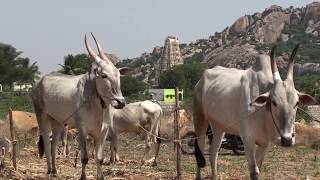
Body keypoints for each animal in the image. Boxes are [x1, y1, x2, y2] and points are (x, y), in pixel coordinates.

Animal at [194, 44, 316, 179]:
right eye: (274, 102)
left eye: (297, 103)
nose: (287, 140)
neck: (263, 114)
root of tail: (201, 80)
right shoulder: (247, 139)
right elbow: (254, 171)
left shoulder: (264, 143)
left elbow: (259, 169)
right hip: (200, 119)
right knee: (200, 150)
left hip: (219, 127)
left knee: (213, 152)